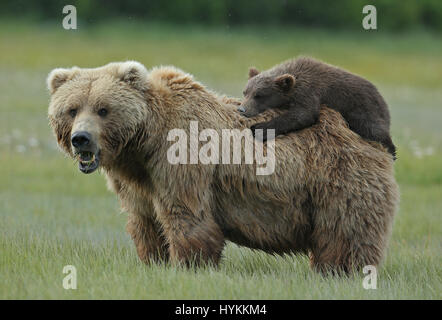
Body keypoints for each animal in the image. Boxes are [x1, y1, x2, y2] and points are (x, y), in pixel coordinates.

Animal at [238, 57, 398, 159]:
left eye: (259, 95)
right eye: (245, 92)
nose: (242, 109)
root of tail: (383, 99)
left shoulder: (309, 90)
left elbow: (303, 115)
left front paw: (259, 128)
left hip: (364, 110)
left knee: (375, 130)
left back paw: (391, 151)